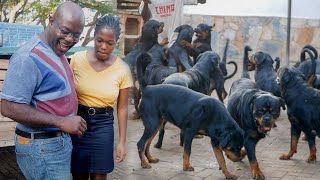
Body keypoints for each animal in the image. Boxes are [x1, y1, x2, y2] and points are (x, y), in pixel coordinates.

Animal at [136, 52, 244, 180]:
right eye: (233, 147)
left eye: (240, 146)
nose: (240, 157)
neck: (216, 117)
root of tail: (147, 89)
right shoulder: (189, 132)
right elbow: (187, 151)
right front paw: (186, 167)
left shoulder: (215, 141)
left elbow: (221, 159)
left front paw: (228, 174)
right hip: (152, 124)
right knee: (141, 143)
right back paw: (144, 163)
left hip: (157, 124)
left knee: (147, 144)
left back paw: (150, 159)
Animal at [228, 45, 284, 179]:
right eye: (259, 111)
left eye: (274, 112)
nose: (267, 119)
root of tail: (243, 77)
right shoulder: (248, 138)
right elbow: (252, 158)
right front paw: (257, 172)